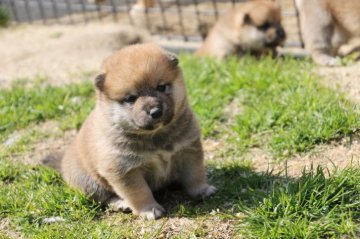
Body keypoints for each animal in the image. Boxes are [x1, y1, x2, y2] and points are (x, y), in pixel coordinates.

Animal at [43, 43, 215, 220]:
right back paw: (121, 204)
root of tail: (63, 161)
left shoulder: (188, 150)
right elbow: (139, 192)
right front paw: (149, 210)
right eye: (131, 98)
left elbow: (195, 174)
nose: (155, 112)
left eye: (161, 87)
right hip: (89, 182)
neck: (155, 136)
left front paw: (202, 190)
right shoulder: (124, 170)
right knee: (104, 198)